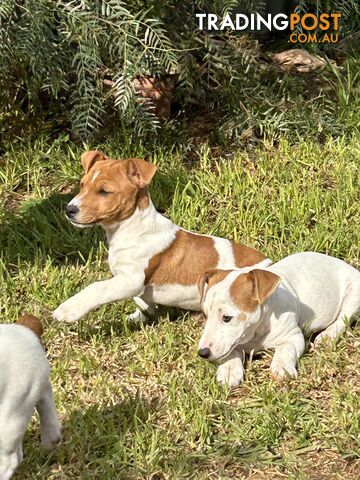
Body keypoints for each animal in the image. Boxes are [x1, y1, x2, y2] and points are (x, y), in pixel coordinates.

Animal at [54, 150, 270, 372]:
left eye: (104, 191)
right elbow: (143, 303)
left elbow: (97, 288)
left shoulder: (130, 280)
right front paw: (139, 317)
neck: (131, 228)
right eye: (82, 185)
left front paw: (68, 309)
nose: (69, 209)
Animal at [197, 251, 360, 386]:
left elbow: (285, 349)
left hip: (354, 295)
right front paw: (229, 371)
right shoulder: (231, 344)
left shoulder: (293, 336)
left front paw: (282, 368)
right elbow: (229, 353)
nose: (202, 353)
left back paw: (328, 335)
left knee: (344, 318)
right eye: (205, 315)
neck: (257, 331)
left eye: (227, 317)